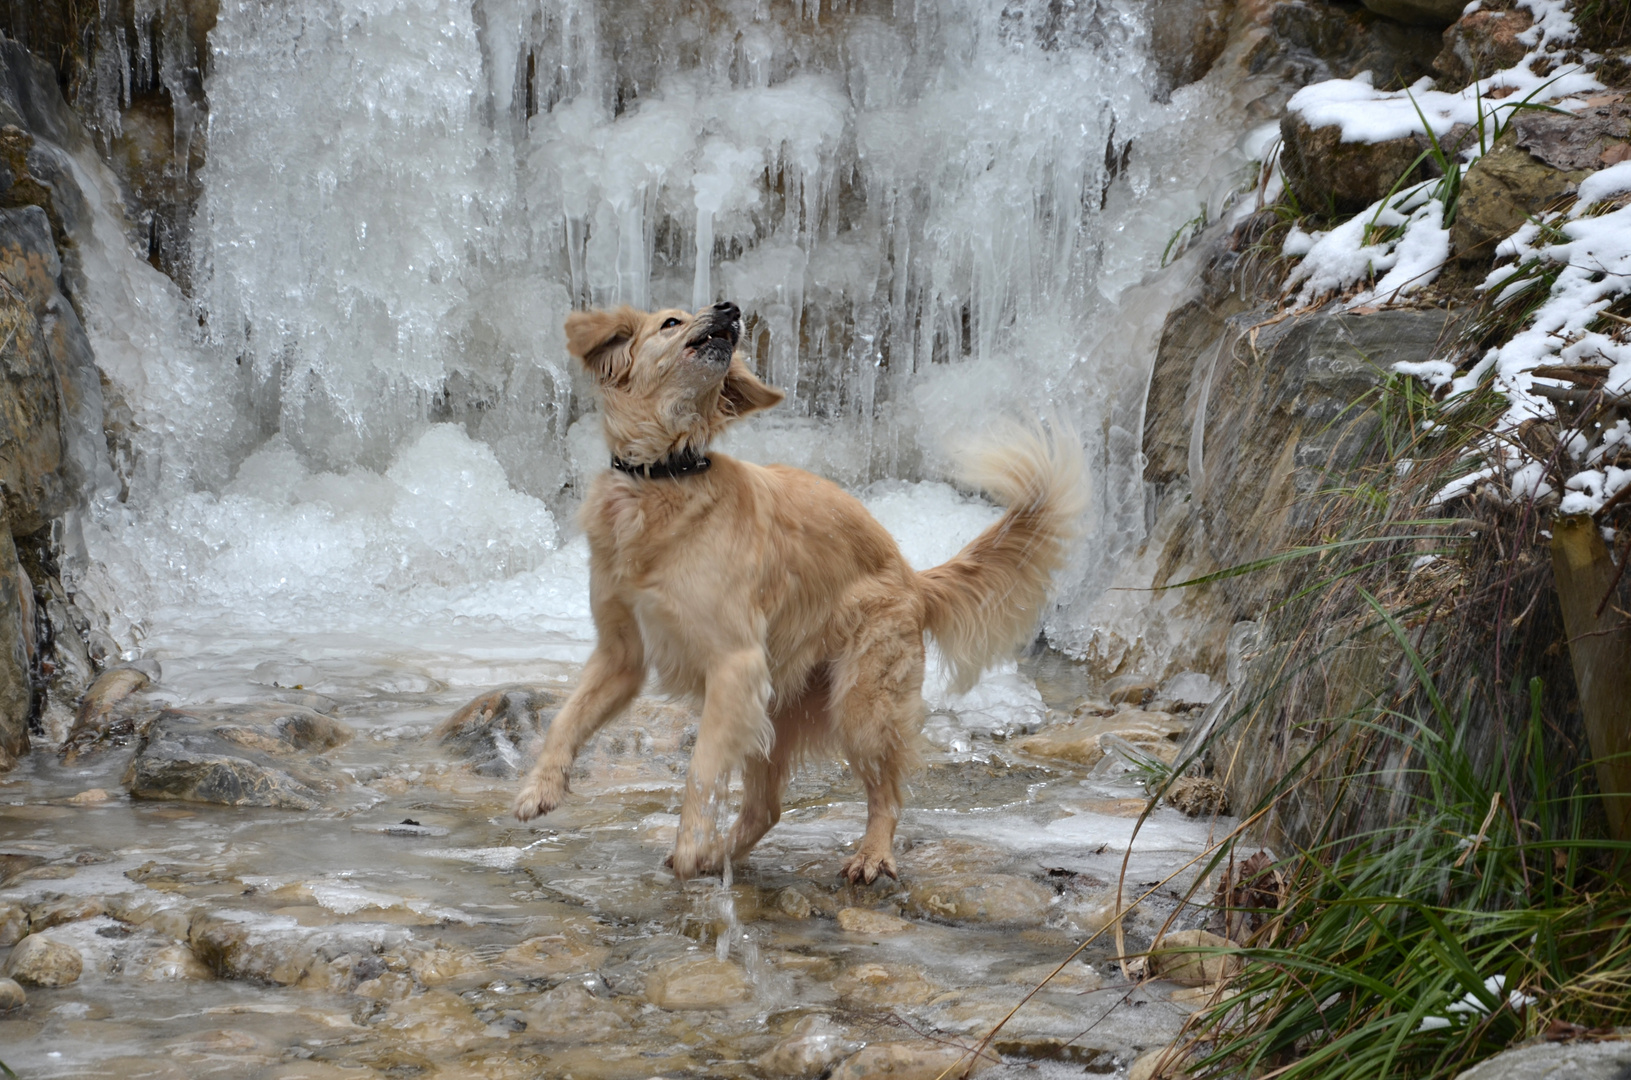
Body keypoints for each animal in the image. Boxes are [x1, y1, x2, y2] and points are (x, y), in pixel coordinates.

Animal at [515, 300, 1089, 887]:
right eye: (670, 323)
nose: (729, 308)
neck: (663, 478)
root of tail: (912, 575)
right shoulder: (621, 655)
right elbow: (566, 719)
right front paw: (541, 789)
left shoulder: (734, 664)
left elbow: (701, 769)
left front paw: (690, 841)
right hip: (774, 708)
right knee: (766, 808)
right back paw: (719, 856)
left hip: (860, 705)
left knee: (885, 793)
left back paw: (869, 855)